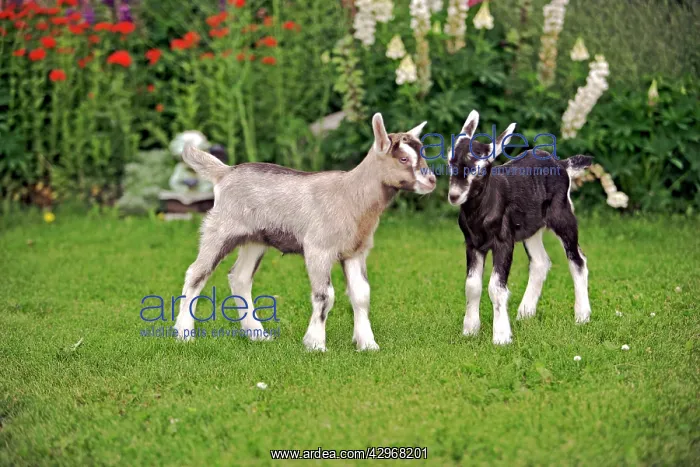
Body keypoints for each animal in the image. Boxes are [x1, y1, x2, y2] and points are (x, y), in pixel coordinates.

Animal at [173, 113, 436, 351]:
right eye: (403, 159)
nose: (431, 181)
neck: (351, 195)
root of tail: (224, 172)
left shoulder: (355, 251)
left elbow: (361, 295)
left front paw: (367, 344)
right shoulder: (318, 249)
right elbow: (325, 296)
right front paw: (315, 344)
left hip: (255, 239)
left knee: (239, 277)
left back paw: (258, 335)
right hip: (220, 229)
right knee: (196, 273)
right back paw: (184, 334)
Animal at [447, 110, 592, 344]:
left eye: (479, 169)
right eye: (450, 162)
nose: (454, 195)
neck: (482, 209)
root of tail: (562, 164)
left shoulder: (503, 241)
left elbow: (495, 287)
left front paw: (501, 336)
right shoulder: (473, 244)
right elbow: (472, 286)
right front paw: (470, 329)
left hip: (562, 216)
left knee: (577, 259)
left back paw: (582, 315)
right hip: (530, 229)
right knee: (541, 262)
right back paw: (525, 312)